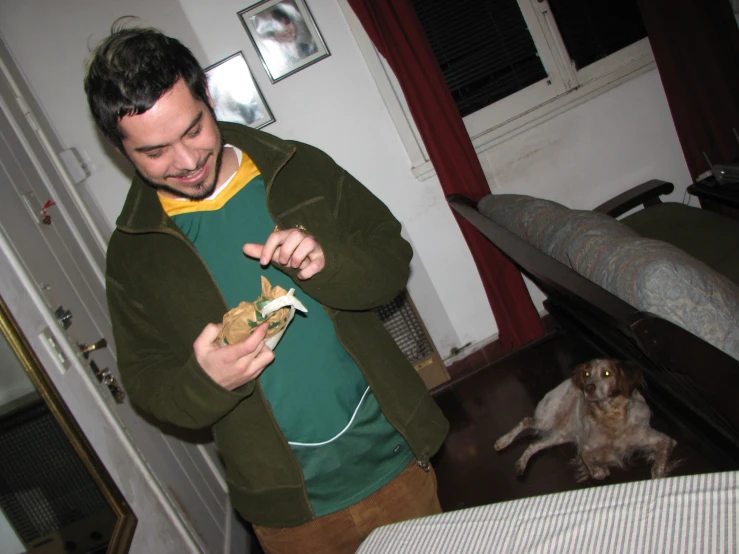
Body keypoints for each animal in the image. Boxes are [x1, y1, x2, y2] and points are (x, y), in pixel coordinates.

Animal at [498, 358, 676, 478]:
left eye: (607, 373)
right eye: (586, 373)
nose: (588, 388)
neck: (612, 416)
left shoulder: (659, 438)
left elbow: (660, 461)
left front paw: (658, 471)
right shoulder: (586, 447)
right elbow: (594, 467)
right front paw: (600, 469)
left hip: (560, 435)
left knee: (533, 444)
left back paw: (520, 464)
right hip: (547, 420)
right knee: (526, 421)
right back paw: (502, 441)